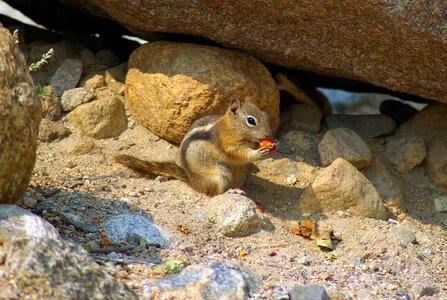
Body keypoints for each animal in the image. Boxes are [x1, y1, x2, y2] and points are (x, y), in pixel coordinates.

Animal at [114, 99, 276, 196]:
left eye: (265, 115)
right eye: (251, 120)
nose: (269, 134)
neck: (231, 127)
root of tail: (192, 182)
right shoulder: (227, 142)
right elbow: (239, 153)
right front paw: (259, 152)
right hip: (218, 176)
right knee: (214, 193)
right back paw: (230, 192)